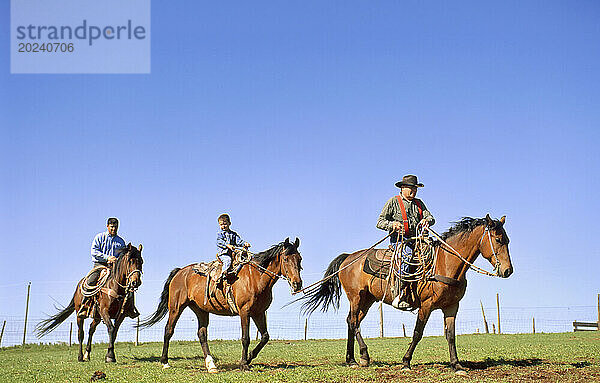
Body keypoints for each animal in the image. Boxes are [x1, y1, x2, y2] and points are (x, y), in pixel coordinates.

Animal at [138, 238, 302, 374]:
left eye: (299, 259)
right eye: (286, 259)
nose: (297, 284)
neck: (255, 277)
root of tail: (180, 272)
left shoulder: (259, 313)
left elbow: (265, 337)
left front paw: (249, 358)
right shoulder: (245, 312)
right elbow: (245, 338)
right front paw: (244, 364)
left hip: (201, 310)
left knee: (202, 334)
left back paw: (211, 365)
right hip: (176, 308)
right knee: (168, 331)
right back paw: (165, 362)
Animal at [302, 216, 512, 376]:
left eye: (507, 240)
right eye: (498, 239)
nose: (508, 270)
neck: (445, 264)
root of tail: (348, 258)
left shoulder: (452, 306)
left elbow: (451, 336)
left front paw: (457, 365)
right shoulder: (426, 306)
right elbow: (417, 333)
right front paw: (405, 362)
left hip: (367, 300)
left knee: (351, 321)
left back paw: (352, 359)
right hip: (356, 297)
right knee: (353, 322)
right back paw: (363, 356)